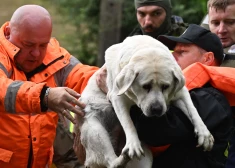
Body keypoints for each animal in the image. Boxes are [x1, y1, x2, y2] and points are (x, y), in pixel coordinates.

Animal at [74, 34, 215, 167]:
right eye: (145, 86)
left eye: (165, 86)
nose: (157, 109)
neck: (147, 49)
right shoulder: (117, 97)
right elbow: (128, 122)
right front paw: (133, 144)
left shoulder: (180, 92)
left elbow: (193, 110)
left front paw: (204, 133)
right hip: (94, 130)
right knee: (110, 161)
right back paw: (121, 158)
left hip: (146, 158)